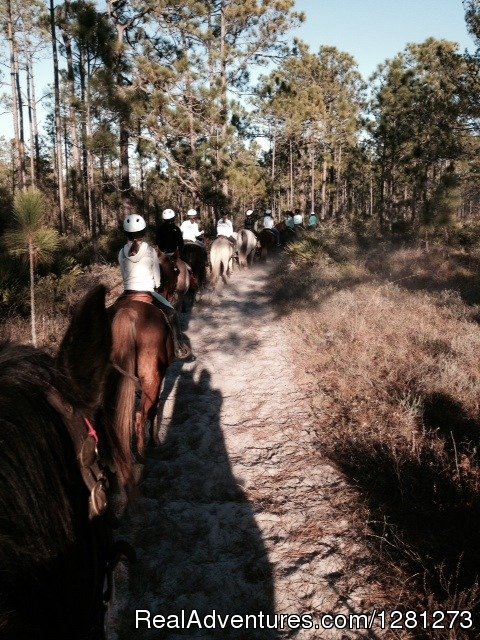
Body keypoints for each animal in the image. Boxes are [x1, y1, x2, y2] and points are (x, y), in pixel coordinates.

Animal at [108, 292, 175, 468]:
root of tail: (127, 314)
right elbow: (155, 407)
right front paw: (154, 441)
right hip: (151, 378)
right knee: (141, 413)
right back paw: (141, 455)